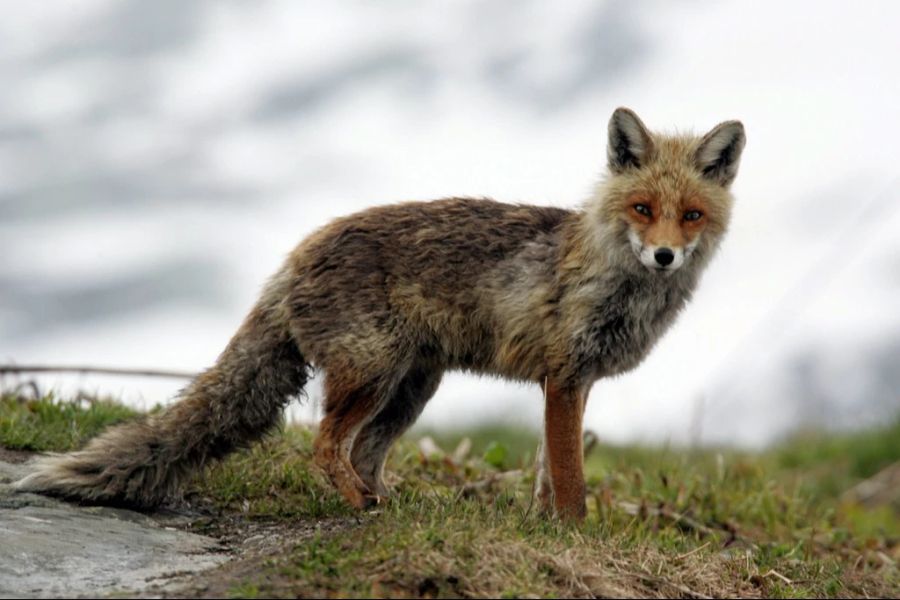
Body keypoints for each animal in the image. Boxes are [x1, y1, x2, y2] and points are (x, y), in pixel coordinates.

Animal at [14, 108, 744, 520]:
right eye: (643, 209)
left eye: (691, 215)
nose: (664, 257)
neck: (615, 279)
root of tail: (300, 249)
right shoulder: (563, 378)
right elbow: (569, 479)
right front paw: (573, 535)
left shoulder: (574, 383)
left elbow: (545, 471)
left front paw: (545, 528)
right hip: (373, 375)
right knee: (325, 445)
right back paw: (360, 505)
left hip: (410, 391)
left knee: (363, 451)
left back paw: (388, 505)